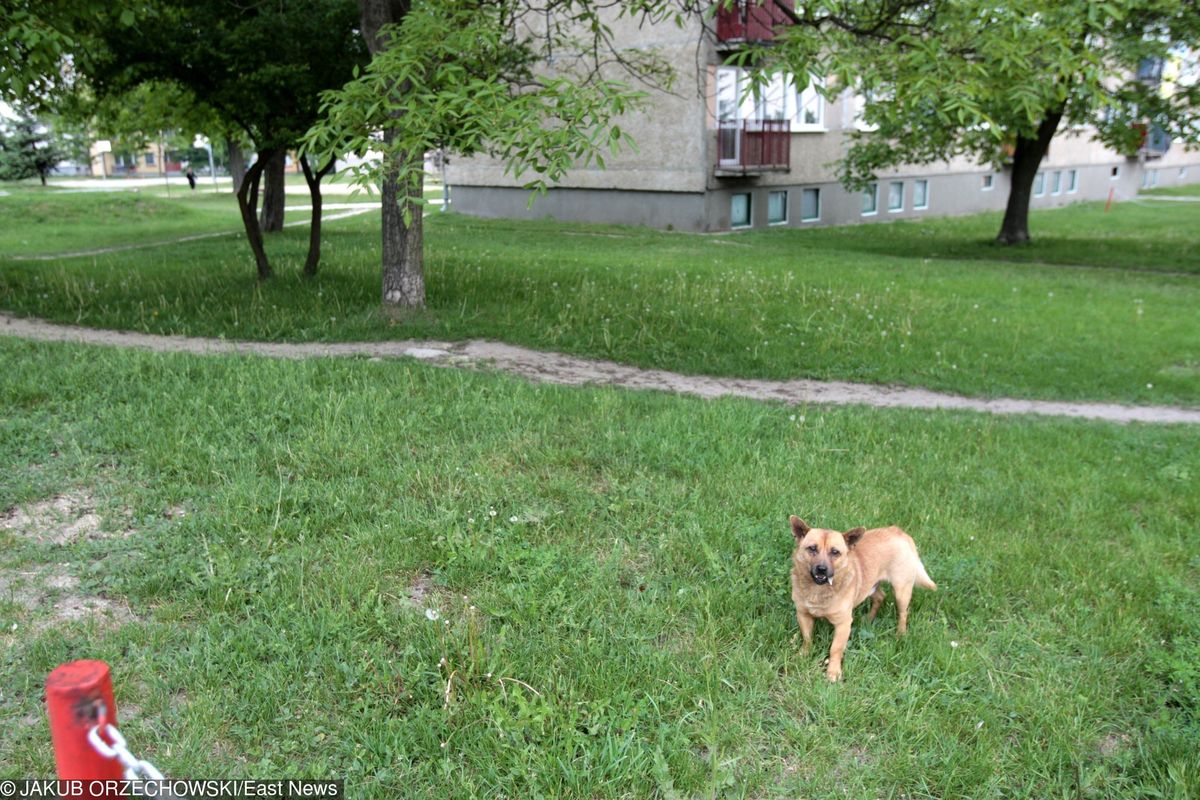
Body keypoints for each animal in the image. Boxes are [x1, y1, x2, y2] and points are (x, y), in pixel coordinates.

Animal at [787, 520, 936, 681]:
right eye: (812, 548)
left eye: (835, 552)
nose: (821, 569)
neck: (818, 590)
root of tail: (899, 531)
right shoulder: (803, 615)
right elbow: (807, 638)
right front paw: (803, 654)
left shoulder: (843, 624)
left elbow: (835, 649)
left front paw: (833, 671)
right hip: (870, 587)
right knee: (880, 597)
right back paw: (869, 618)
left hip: (901, 591)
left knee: (903, 613)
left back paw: (900, 634)